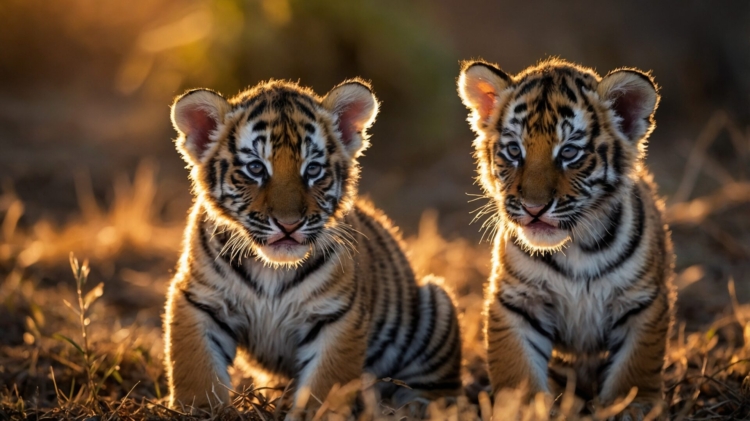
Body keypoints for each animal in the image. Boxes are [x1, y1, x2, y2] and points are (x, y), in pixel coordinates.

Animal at [163, 78, 462, 418]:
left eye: (314, 169)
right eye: (256, 168)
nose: (288, 224)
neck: (271, 268)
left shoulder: (336, 315)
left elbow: (326, 383)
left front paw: (314, 413)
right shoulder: (199, 300)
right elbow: (195, 367)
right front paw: (199, 410)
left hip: (436, 304)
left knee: (440, 390)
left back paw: (409, 408)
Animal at [457, 58, 675, 419]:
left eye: (569, 152)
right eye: (514, 150)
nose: (533, 207)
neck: (576, 247)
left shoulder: (641, 301)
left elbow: (636, 364)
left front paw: (632, 407)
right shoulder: (519, 301)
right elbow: (517, 367)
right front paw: (522, 407)